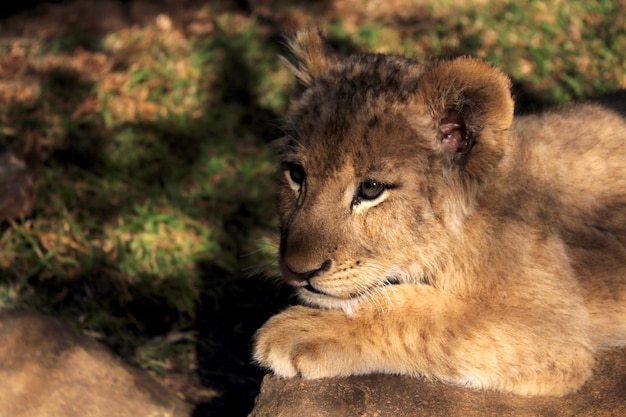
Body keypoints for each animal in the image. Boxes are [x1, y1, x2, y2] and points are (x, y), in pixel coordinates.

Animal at [251, 27, 620, 394]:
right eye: (296, 174)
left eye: (371, 189)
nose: (298, 270)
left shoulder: (554, 325)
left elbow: (417, 313)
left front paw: (300, 330)